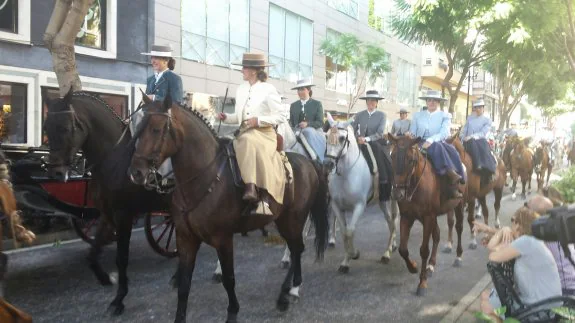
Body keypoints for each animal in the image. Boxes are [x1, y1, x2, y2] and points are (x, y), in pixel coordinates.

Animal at [44, 90, 172, 316]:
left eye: (65, 128)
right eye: (46, 128)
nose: (56, 173)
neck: (114, 159)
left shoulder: (123, 216)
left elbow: (121, 257)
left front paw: (119, 299)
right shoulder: (106, 213)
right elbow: (92, 253)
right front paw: (105, 278)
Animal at [322, 123, 398, 274]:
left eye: (342, 138)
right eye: (326, 136)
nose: (328, 164)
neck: (346, 174)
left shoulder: (359, 206)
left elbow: (350, 231)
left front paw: (354, 254)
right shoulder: (337, 206)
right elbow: (344, 232)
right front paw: (345, 262)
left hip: (393, 198)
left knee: (393, 222)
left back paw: (386, 254)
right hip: (382, 201)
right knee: (390, 221)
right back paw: (391, 247)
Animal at [390, 135, 466, 298]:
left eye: (410, 160)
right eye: (392, 156)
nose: (397, 193)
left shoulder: (427, 217)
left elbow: (424, 250)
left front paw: (422, 283)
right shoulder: (407, 217)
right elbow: (403, 249)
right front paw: (413, 267)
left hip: (459, 204)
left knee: (459, 227)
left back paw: (458, 257)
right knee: (437, 234)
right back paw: (431, 266)